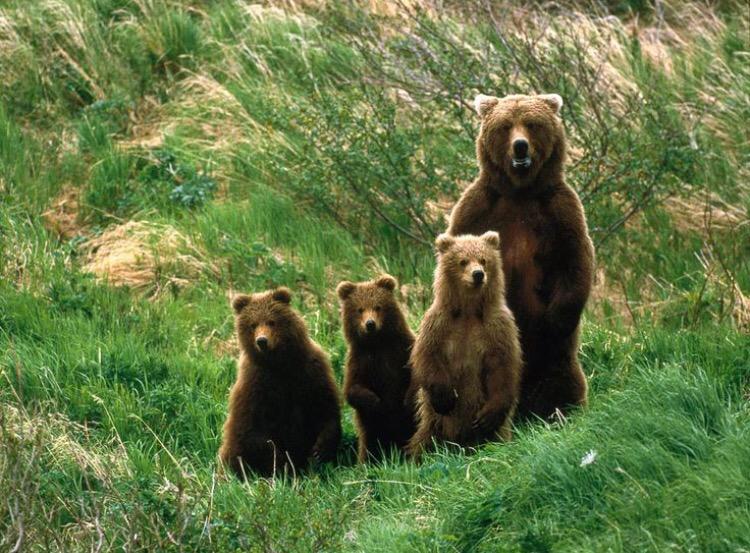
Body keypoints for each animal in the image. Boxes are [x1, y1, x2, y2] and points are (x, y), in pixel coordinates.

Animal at [219, 287, 341, 478]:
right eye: (253, 324)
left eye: (271, 321)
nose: (262, 341)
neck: (279, 364)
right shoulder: (255, 384)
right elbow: (253, 430)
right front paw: (284, 464)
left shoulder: (311, 371)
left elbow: (325, 406)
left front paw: (320, 450)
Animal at [337, 274, 417, 462]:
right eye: (360, 309)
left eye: (378, 306)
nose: (370, 324)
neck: (377, 343)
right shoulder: (360, 361)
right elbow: (352, 389)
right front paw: (375, 402)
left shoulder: (401, 350)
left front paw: (406, 400)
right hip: (371, 431)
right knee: (370, 445)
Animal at [407, 232, 522, 458]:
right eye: (463, 261)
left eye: (484, 260)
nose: (478, 274)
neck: (468, 310)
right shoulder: (439, 323)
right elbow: (427, 355)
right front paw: (445, 397)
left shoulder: (497, 327)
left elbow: (503, 365)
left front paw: (487, 417)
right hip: (434, 422)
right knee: (424, 439)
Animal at [447, 93, 595, 421]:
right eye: (505, 126)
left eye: (531, 123)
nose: (520, 146)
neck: (520, 191)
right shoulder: (478, 208)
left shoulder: (559, 211)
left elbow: (575, 259)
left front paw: (556, 320)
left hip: (556, 361)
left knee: (562, 378)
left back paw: (559, 410)